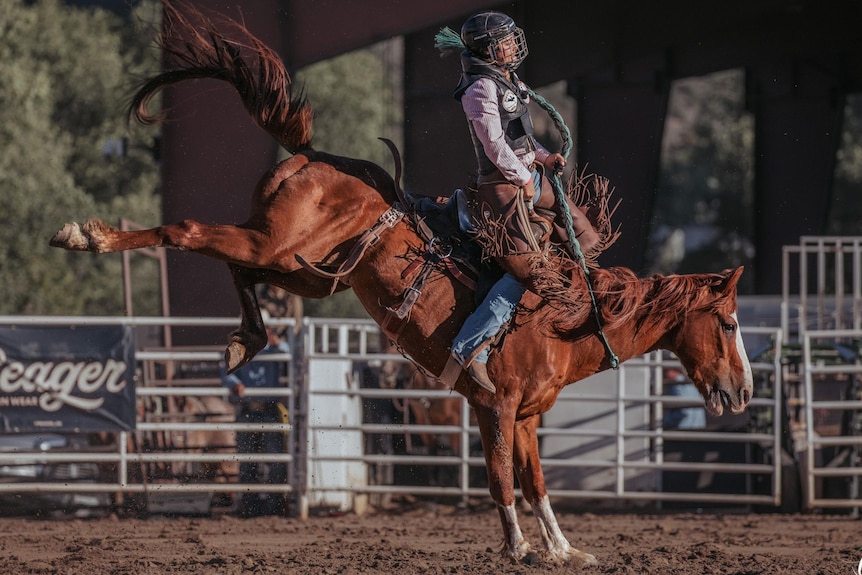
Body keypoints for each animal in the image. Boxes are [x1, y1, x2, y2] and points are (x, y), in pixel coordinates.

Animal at [49, 4, 756, 568]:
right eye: (729, 322)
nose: (744, 391)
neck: (568, 315)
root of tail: (317, 156)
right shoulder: (496, 407)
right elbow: (502, 481)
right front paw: (521, 549)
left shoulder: (526, 416)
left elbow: (536, 483)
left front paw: (562, 548)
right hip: (277, 243)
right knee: (192, 231)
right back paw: (88, 237)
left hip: (305, 269)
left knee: (240, 268)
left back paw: (246, 338)